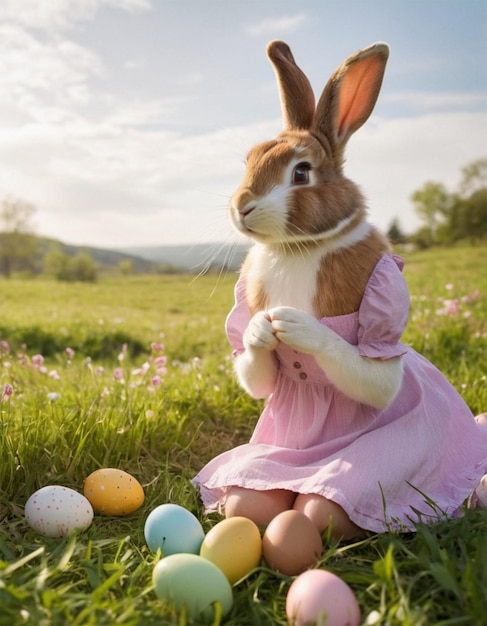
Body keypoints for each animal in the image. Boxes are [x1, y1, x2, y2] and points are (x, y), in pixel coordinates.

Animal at [193, 40, 487, 536]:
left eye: (301, 173)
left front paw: (295, 325)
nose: (242, 206)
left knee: (322, 509)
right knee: (249, 501)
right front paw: (259, 329)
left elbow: (373, 376)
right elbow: (256, 372)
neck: (298, 246)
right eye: (250, 160)